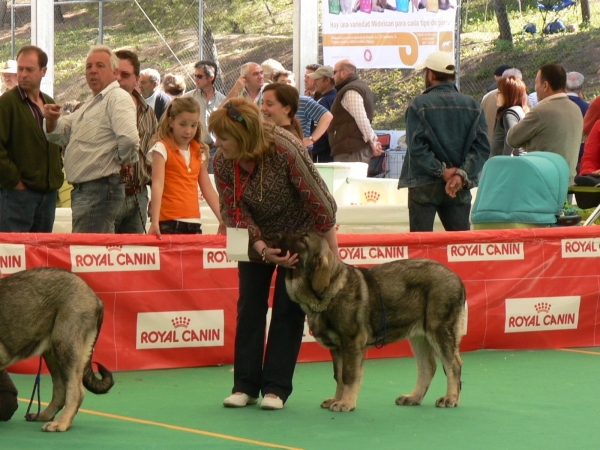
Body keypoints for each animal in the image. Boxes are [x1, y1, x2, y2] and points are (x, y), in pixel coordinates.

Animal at [274, 232, 466, 412]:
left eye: (303, 239)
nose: (277, 235)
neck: (332, 290)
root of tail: (457, 277)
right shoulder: (337, 348)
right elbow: (339, 376)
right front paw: (337, 399)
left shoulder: (352, 343)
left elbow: (349, 376)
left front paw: (346, 402)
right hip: (419, 337)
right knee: (428, 366)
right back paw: (413, 397)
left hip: (439, 329)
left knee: (453, 365)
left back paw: (450, 398)